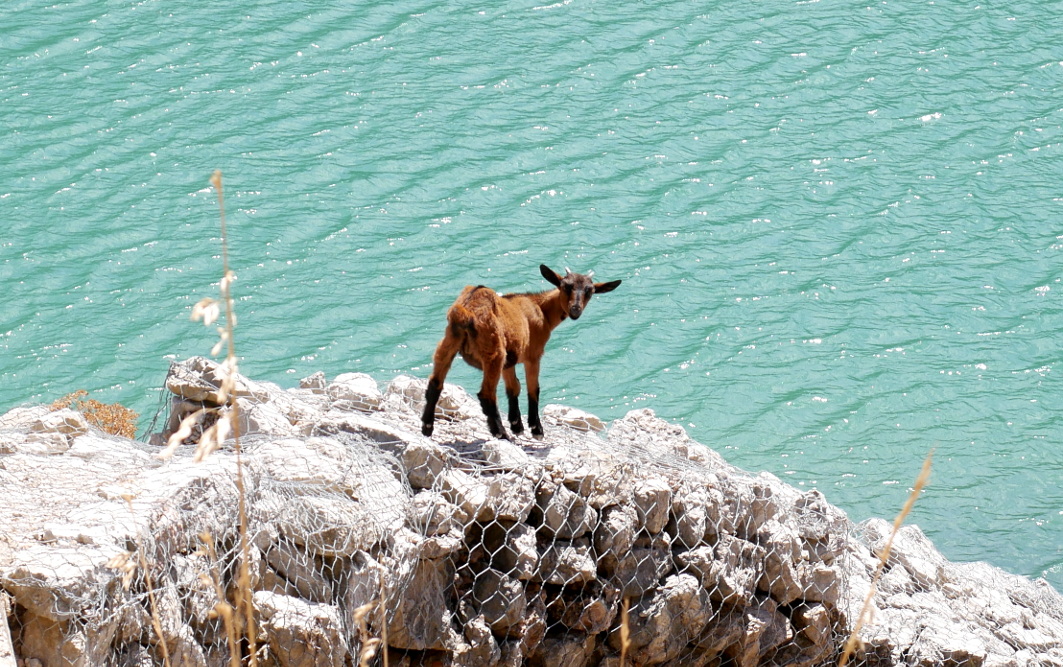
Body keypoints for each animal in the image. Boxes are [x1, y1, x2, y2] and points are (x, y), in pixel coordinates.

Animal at [420, 263, 620, 440]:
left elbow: (514, 387)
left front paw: (517, 425)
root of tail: (466, 311)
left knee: (435, 382)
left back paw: (427, 427)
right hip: (494, 352)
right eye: (565, 286)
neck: (541, 310)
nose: (575, 310)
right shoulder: (533, 354)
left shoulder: (511, 358)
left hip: (449, 342)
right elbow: (533, 389)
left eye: (590, 291)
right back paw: (500, 433)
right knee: (486, 394)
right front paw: (535, 429)